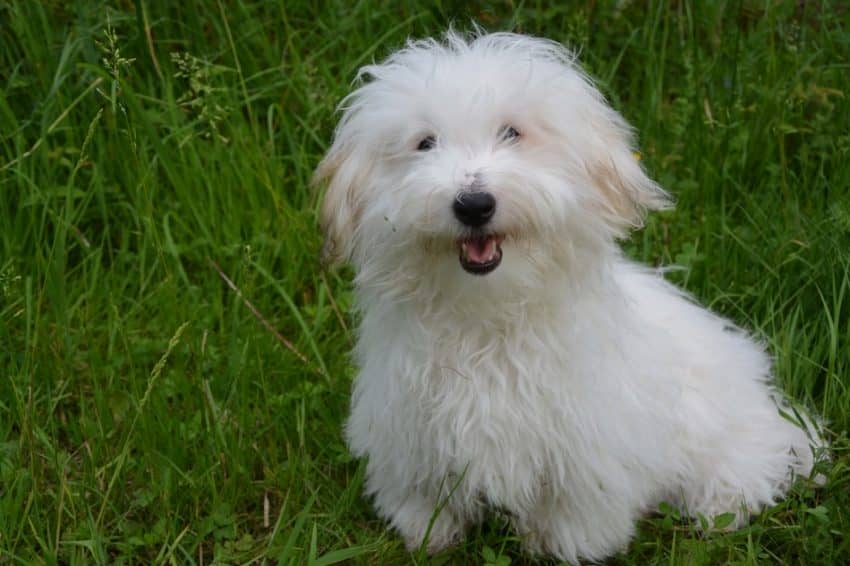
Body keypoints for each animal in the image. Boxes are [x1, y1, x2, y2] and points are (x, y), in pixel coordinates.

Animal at [314, 32, 820, 566]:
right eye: (424, 142)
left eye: (512, 133)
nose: (473, 204)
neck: (487, 316)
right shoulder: (408, 430)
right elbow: (423, 495)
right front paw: (428, 533)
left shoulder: (586, 447)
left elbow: (573, 510)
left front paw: (559, 546)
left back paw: (720, 506)